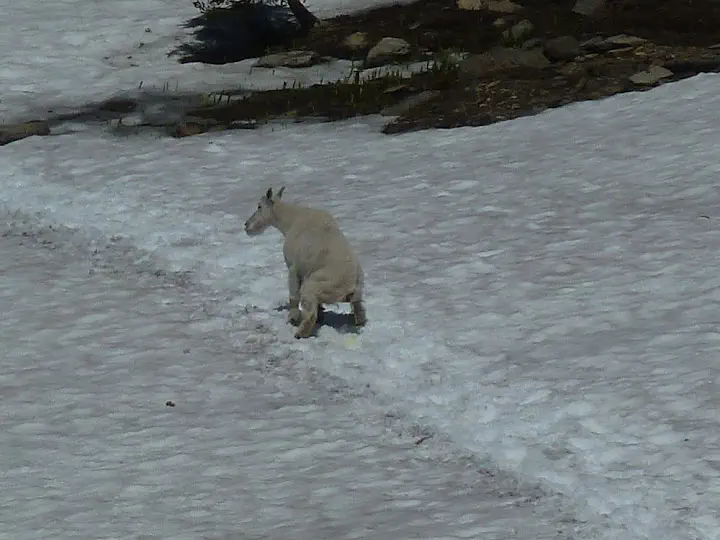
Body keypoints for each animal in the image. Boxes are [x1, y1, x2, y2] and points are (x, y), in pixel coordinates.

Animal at [244, 186, 367, 339]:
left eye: (259, 206)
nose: (246, 225)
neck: (290, 221)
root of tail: (350, 283)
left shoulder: (293, 267)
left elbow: (294, 296)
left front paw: (292, 318)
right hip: (353, 292)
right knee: (358, 309)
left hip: (314, 285)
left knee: (310, 315)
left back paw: (300, 333)